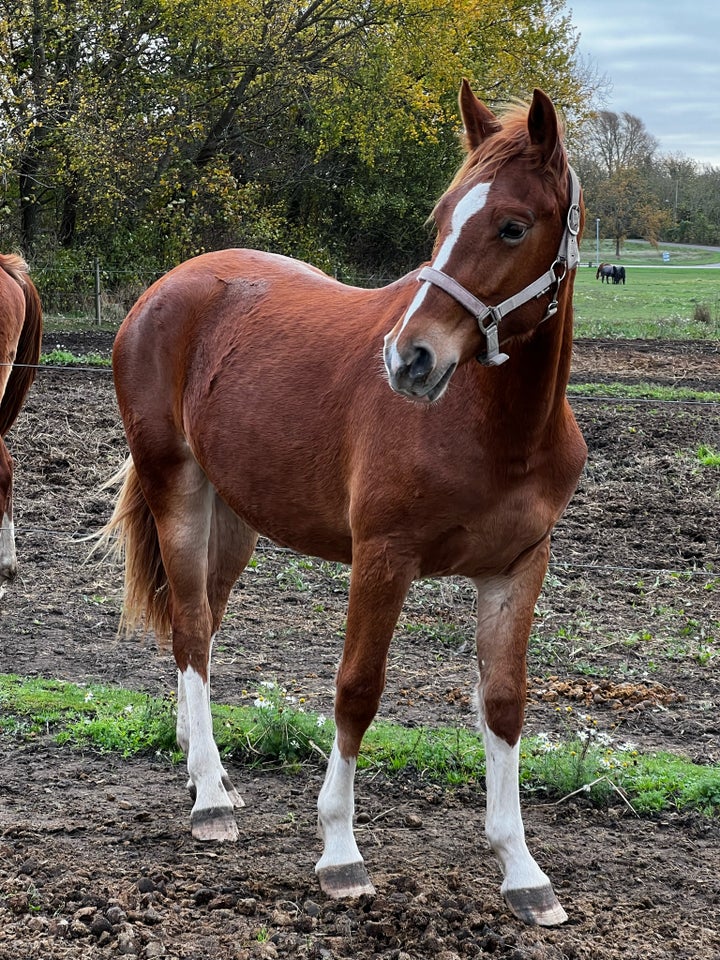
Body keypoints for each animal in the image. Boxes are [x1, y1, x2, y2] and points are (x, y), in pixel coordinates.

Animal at [108, 86, 592, 928]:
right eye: (442, 219)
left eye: (512, 225)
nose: (410, 359)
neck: (495, 427)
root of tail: (165, 290)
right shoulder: (383, 556)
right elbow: (357, 690)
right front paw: (340, 852)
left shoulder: (518, 569)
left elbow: (503, 704)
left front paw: (523, 870)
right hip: (178, 489)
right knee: (193, 629)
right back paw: (210, 803)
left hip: (233, 518)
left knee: (197, 626)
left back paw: (209, 775)